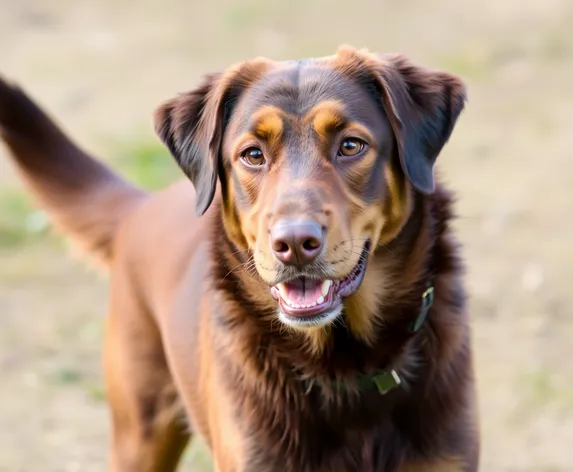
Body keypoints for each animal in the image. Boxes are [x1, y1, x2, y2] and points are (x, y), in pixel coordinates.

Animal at [1, 45, 478, 472]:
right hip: (139, 431)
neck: (341, 366)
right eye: (252, 154)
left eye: (351, 145)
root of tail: (141, 208)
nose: (295, 243)